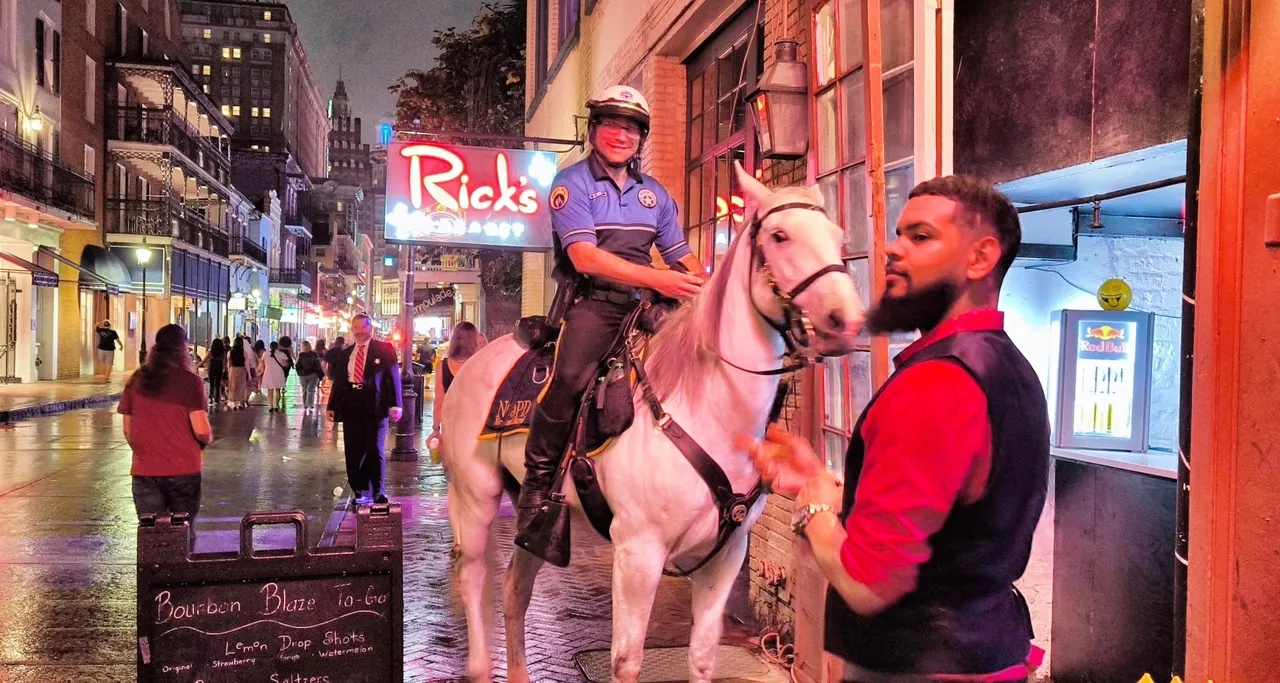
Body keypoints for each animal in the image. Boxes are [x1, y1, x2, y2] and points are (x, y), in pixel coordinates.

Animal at [445, 164, 865, 683]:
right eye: (780, 236)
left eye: (838, 236)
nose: (846, 321)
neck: (706, 409)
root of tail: (475, 363)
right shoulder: (638, 553)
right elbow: (626, 661)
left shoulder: (725, 557)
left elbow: (702, 656)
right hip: (474, 498)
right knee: (473, 577)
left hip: (534, 527)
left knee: (513, 591)